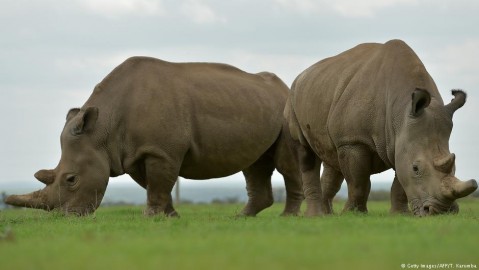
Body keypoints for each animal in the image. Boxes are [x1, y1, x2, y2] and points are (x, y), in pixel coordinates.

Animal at [4, 57, 304, 217]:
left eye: (71, 179)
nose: (67, 217)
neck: (102, 129)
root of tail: (284, 86)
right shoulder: (135, 153)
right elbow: (156, 185)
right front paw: (170, 217)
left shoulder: (160, 150)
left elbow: (159, 184)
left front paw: (150, 217)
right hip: (257, 105)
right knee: (254, 165)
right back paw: (241, 218)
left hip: (287, 110)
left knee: (285, 163)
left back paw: (286, 217)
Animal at [286, 39, 478, 217]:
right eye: (416, 169)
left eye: (455, 166)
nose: (442, 212)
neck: (401, 112)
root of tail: (301, 76)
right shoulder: (353, 141)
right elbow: (358, 182)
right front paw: (353, 214)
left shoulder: (401, 141)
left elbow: (399, 183)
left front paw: (399, 215)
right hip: (295, 98)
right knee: (306, 153)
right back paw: (315, 216)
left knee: (331, 158)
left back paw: (327, 215)